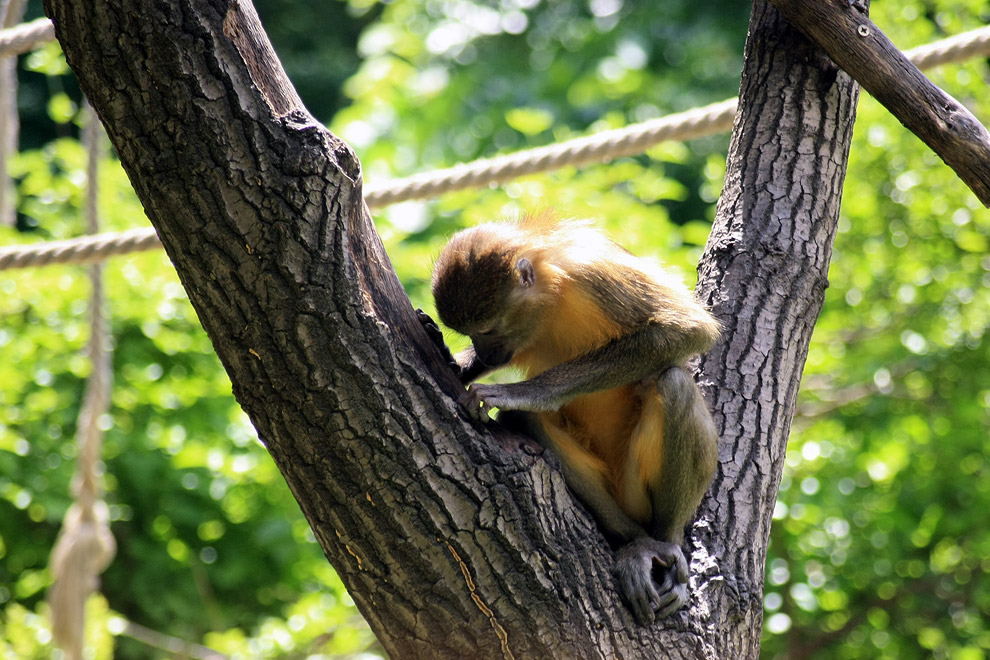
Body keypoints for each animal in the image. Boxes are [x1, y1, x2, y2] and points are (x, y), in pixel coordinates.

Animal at [428, 215, 720, 624]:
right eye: (471, 334)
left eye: (485, 329)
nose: (483, 351)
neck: (551, 296)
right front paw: (455, 360)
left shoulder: (592, 274)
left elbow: (689, 329)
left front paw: (528, 391)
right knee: (530, 422)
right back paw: (635, 542)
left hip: (636, 486)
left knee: (675, 384)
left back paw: (663, 542)